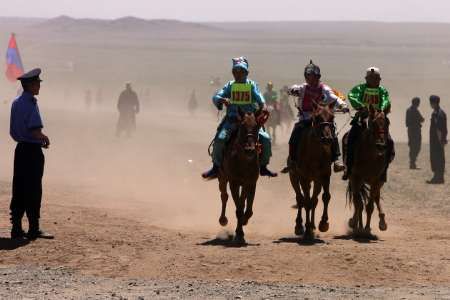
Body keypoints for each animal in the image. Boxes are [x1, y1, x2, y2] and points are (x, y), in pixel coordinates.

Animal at [217, 109, 268, 244]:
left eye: (257, 127)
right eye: (242, 126)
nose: (250, 149)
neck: (244, 161)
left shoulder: (250, 182)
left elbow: (247, 207)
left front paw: (244, 221)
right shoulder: (234, 183)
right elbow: (239, 208)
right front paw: (239, 234)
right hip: (222, 177)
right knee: (224, 195)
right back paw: (223, 219)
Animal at [290, 102, 336, 240]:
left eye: (332, 117)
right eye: (317, 118)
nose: (327, 139)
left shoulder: (324, 176)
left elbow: (325, 197)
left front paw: (323, 224)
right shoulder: (304, 177)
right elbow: (306, 201)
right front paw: (307, 230)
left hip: (316, 181)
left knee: (313, 200)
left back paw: (313, 225)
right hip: (294, 177)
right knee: (300, 198)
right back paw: (300, 226)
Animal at [344, 106, 390, 236]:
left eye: (387, 123)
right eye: (373, 123)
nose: (381, 145)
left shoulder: (376, 180)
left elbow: (370, 206)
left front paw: (367, 228)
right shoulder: (356, 178)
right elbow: (359, 204)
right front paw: (358, 226)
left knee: (375, 198)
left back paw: (382, 222)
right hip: (355, 180)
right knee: (357, 201)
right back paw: (355, 224)